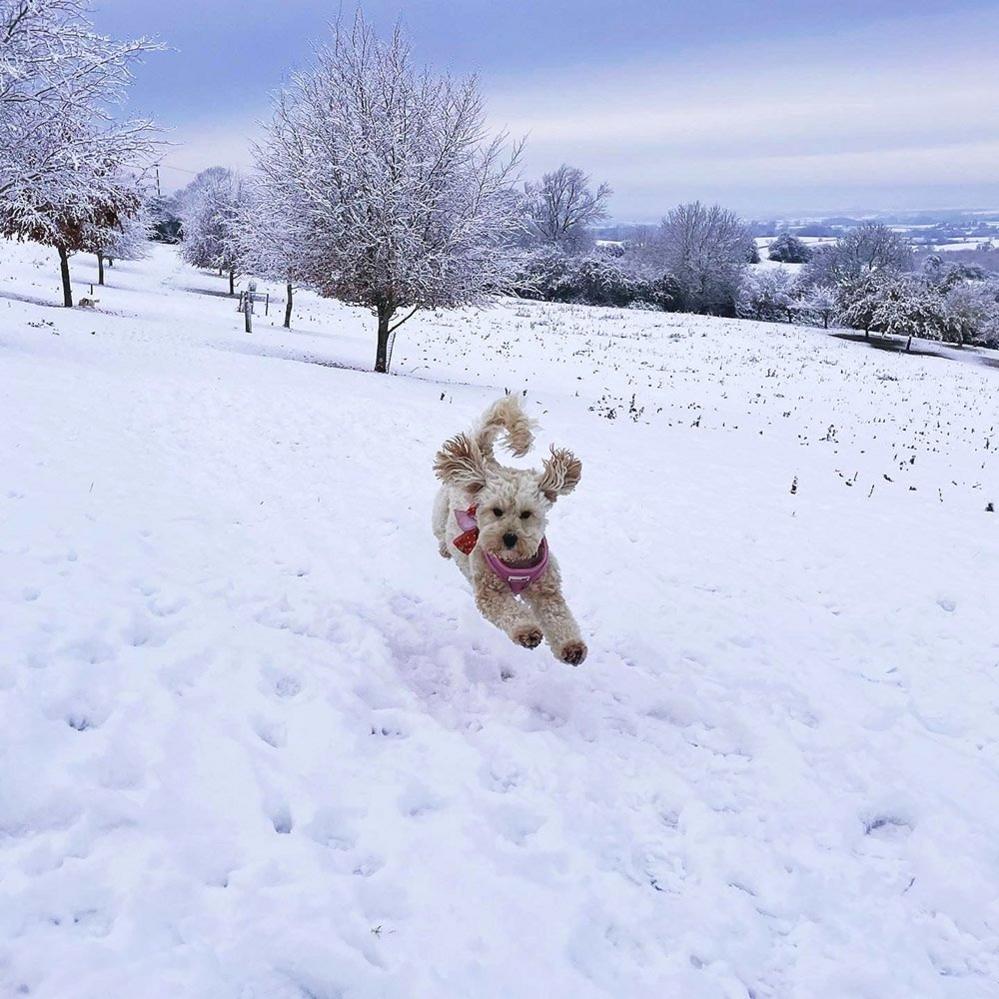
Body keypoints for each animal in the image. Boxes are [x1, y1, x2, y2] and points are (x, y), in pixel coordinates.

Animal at [436, 396, 588, 664]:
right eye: (496, 511)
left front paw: (572, 647)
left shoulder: (547, 590)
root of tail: (486, 462)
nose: (509, 538)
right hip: (441, 508)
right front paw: (527, 631)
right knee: (439, 530)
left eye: (526, 514)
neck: (516, 564)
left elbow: (559, 618)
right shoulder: (490, 592)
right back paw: (445, 548)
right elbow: (510, 611)